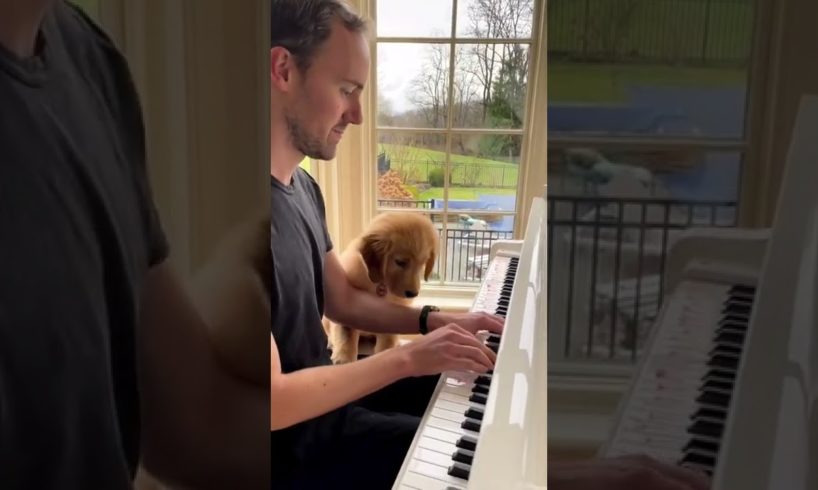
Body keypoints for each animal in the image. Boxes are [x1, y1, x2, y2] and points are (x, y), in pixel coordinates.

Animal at [326, 212, 436, 366]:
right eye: (400, 262)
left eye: (422, 263)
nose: (413, 294)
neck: (380, 285)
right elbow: (345, 331)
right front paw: (344, 359)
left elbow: (387, 340)